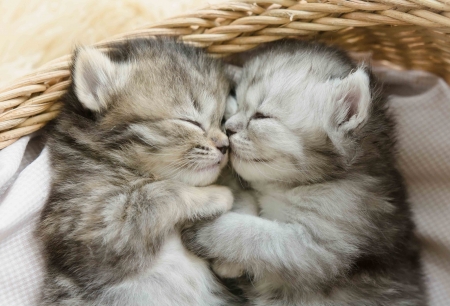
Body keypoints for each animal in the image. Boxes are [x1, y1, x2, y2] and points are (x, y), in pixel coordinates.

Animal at [37, 38, 239, 306]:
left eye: (222, 120)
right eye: (190, 121)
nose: (225, 146)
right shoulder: (93, 225)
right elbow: (160, 192)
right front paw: (218, 195)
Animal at [182, 40, 426, 304]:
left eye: (260, 116)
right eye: (235, 102)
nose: (228, 128)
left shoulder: (323, 243)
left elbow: (254, 234)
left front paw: (206, 230)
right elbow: (245, 198)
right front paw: (229, 263)